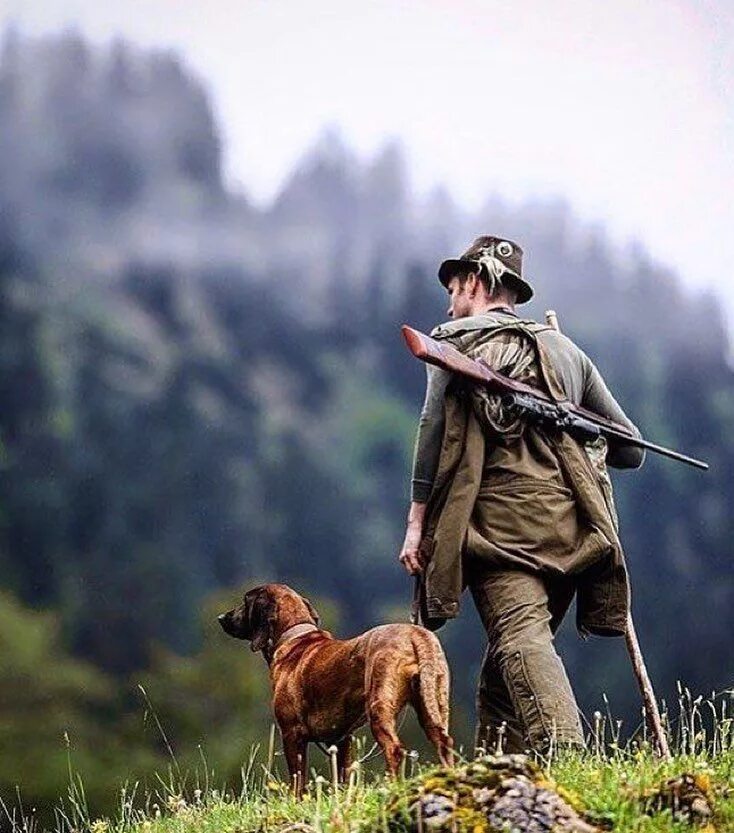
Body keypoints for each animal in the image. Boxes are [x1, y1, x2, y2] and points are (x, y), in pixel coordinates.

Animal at [220, 580, 454, 788]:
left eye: (245, 601)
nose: (221, 617)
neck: (294, 636)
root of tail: (415, 633)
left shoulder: (291, 733)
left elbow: (297, 780)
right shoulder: (341, 739)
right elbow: (341, 777)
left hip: (379, 707)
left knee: (394, 749)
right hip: (433, 706)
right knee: (444, 742)